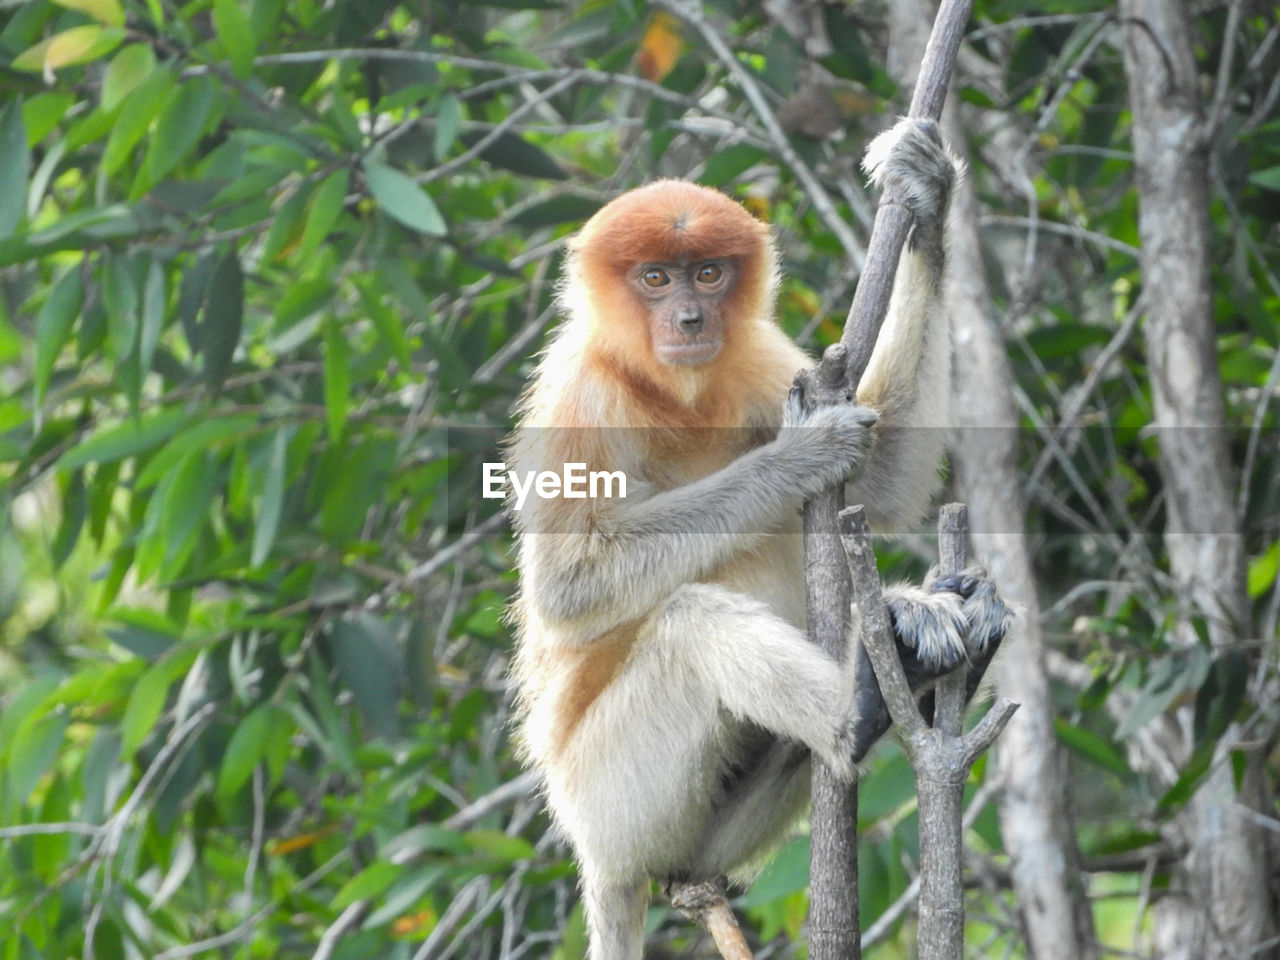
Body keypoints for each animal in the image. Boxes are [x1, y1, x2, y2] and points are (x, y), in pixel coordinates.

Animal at [501, 120, 1008, 960]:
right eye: (654, 279)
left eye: (708, 274)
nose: (690, 322)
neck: (667, 391)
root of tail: (599, 859)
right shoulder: (582, 395)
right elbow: (568, 587)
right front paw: (803, 453)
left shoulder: (756, 358)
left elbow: (881, 485)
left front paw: (925, 194)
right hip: (612, 797)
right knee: (690, 622)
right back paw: (860, 706)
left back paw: (921, 636)